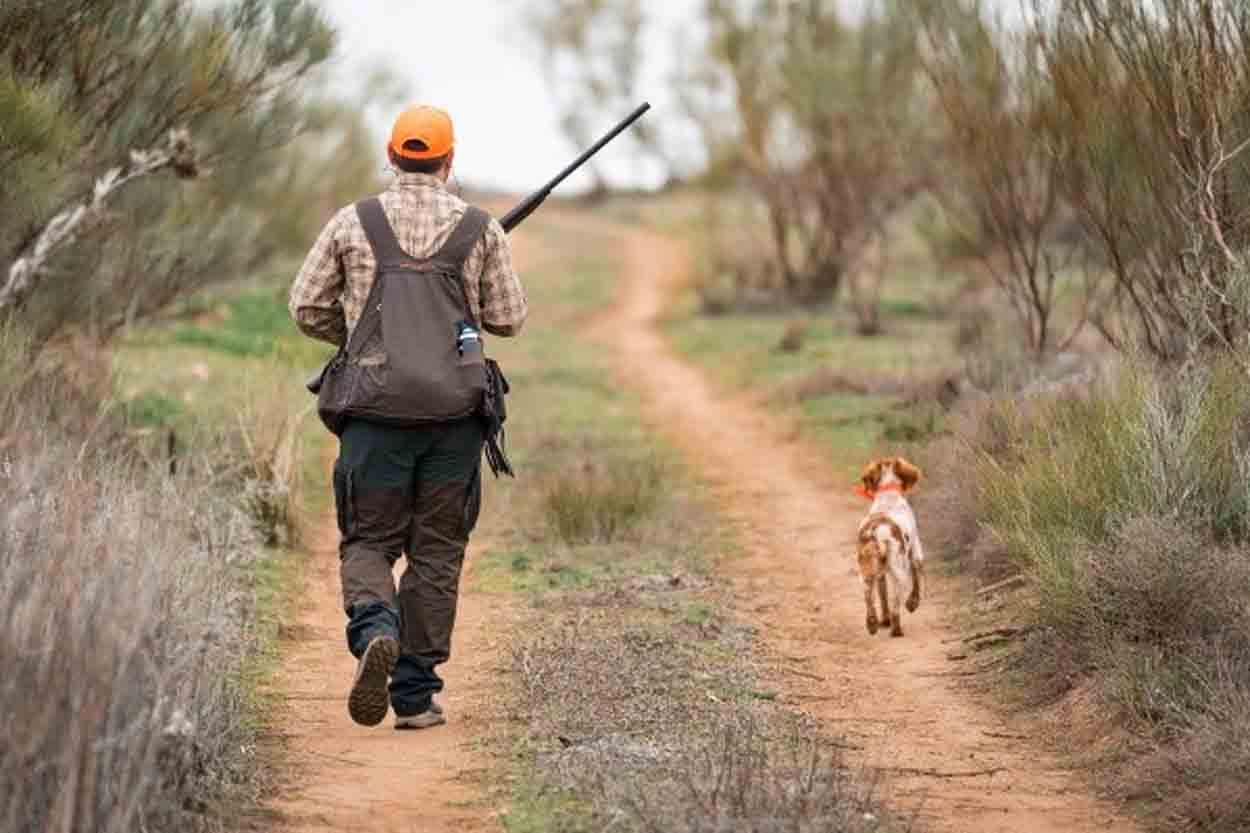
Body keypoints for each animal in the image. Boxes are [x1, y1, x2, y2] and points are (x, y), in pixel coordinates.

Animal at [855, 455, 925, 635]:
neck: (888, 495)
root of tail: (876, 531)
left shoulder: (879, 573)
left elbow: (882, 594)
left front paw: (884, 621)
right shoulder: (916, 551)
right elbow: (916, 578)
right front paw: (912, 603)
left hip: (865, 573)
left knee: (869, 597)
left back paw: (872, 624)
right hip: (899, 571)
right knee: (895, 605)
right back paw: (896, 630)